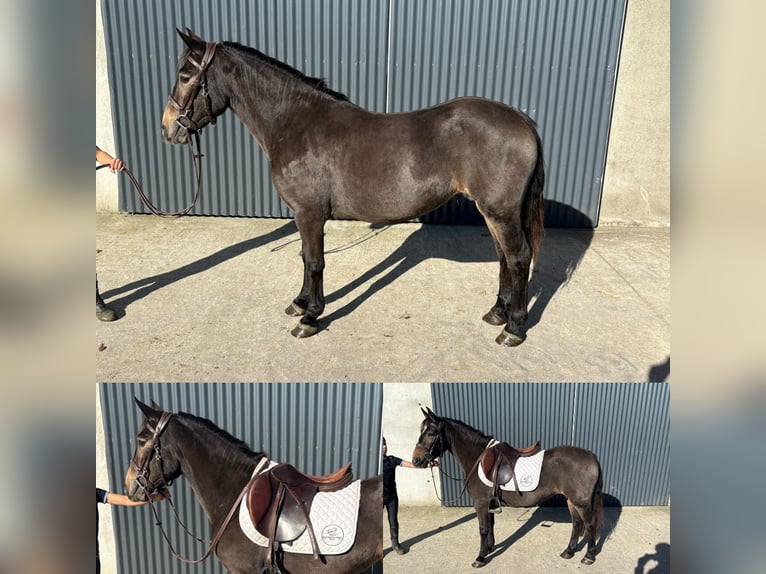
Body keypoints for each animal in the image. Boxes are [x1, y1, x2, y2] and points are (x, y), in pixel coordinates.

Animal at [160, 28, 546, 347]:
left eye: (184, 75)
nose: (168, 128)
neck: (296, 123)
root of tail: (520, 119)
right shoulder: (303, 215)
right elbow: (304, 257)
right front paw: (299, 302)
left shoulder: (309, 214)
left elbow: (315, 261)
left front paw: (310, 317)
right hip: (491, 211)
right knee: (503, 257)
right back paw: (497, 313)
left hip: (501, 212)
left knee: (518, 257)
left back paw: (513, 329)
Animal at [412, 407, 602, 568]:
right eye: (421, 431)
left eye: (431, 432)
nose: (416, 460)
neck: (477, 458)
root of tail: (591, 456)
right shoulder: (489, 503)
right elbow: (490, 525)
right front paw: (489, 548)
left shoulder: (480, 502)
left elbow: (482, 528)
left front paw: (480, 557)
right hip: (571, 500)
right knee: (577, 524)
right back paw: (568, 551)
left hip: (581, 502)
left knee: (589, 525)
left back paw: (588, 556)